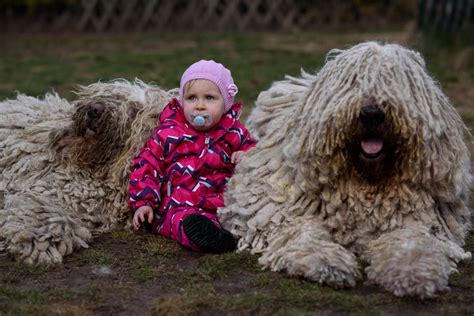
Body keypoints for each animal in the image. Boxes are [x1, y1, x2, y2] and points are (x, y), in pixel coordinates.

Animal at [220, 42, 472, 298]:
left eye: (395, 80)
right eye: (353, 81)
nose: (372, 113)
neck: (365, 180)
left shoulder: (416, 218)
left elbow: (413, 241)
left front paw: (413, 272)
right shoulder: (286, 210)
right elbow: (302, 232)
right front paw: (327, 264)